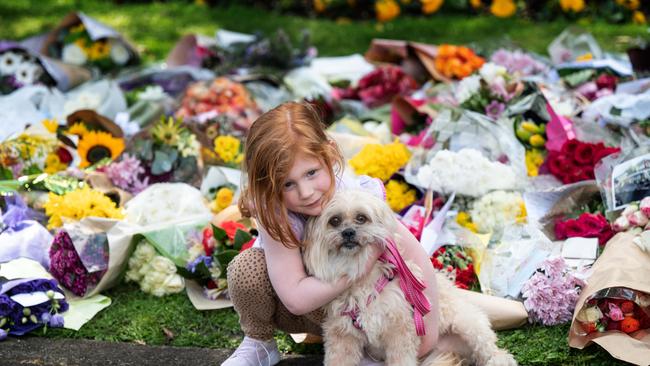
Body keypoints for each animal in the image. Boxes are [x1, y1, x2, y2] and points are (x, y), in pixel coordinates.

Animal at [302, 190, 516, 364]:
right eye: (334, 221)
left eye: (361, 218)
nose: (348, 232)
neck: (362, 281)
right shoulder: (342, 336)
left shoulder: (401, 332)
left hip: (468, 324)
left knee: (489, 348)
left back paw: (499, 360)